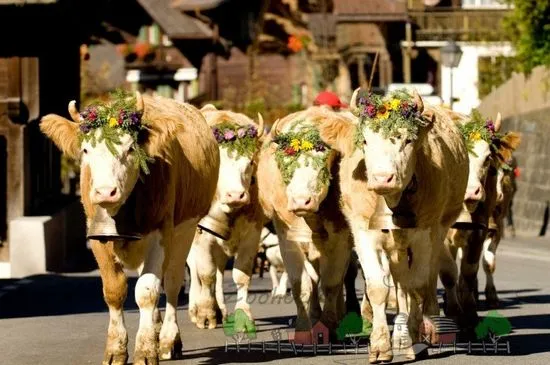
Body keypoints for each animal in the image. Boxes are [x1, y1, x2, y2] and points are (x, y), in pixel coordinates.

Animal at [40, 91, 220, 364]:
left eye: (130, 149)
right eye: (85, 149)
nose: (105, 191)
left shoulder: (161, 233)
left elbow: (146, 291)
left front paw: (146, 350)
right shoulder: (97, 236)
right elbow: (115, 290)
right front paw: (116, 349)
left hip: (185, 230)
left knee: (172, 281)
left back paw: (168, 339)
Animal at [185, 104, 268, 328]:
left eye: (250, 162)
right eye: (218, 164)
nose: (236, 195)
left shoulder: (252, 235)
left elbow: (241, 275)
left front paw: (243, 315)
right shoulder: (202, 237)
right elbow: (206, 274)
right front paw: (205, 314)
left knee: (221, 270)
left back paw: (220, 308)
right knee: (195, 270)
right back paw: (195, 309)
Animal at [258, 106, 356, 342]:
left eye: (323, 157)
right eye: (287, 159)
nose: (301, 200)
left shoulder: (340, 241)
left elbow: (331, 285)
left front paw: (329, 326)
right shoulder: (288, 240)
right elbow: (300, 285)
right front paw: (303, 330)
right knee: (312, 281)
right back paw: (314, 316)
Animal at [322, 88, 472, 362]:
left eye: (408, 141)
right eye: (366, 141)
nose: (383, 178)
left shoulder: (424, 235)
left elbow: (417, 287)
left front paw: (413, 338)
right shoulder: (364, 235)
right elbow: (378, 287)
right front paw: (381, 345)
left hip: (437, 232)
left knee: (424, 281)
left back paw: (423, 328)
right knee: (400, 283)